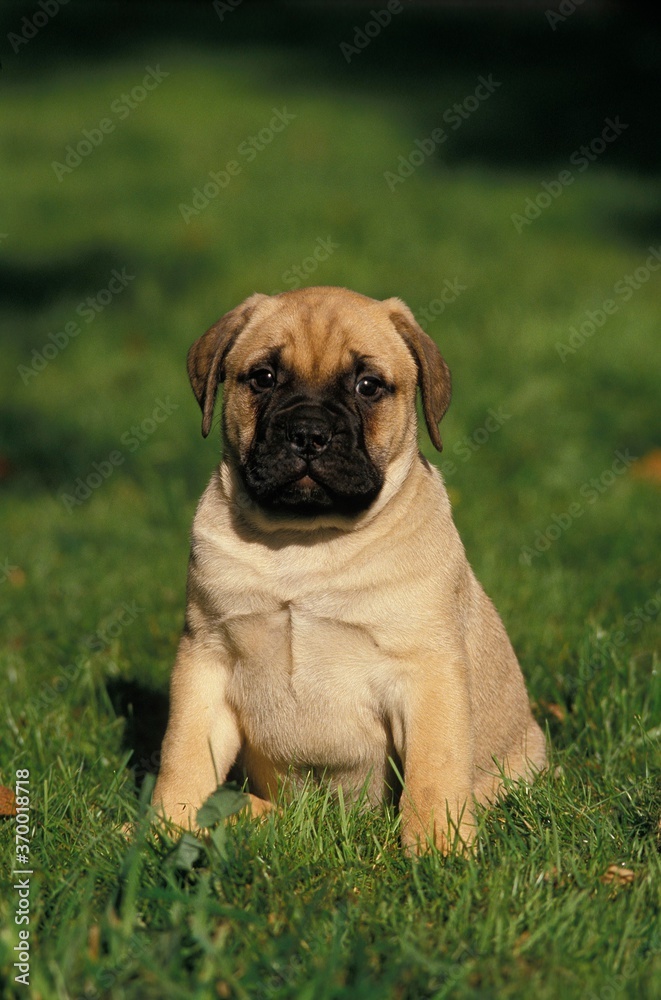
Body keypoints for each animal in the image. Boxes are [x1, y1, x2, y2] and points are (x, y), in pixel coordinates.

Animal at [152, 288, 544, 852]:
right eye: (263, 378)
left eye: (368, 386)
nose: (309, 433)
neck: (306, 542)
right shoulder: (206, 656)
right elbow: (182, 755)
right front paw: (166, 824)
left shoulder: (426, 672)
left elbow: (435, 772)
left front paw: (438, 849)